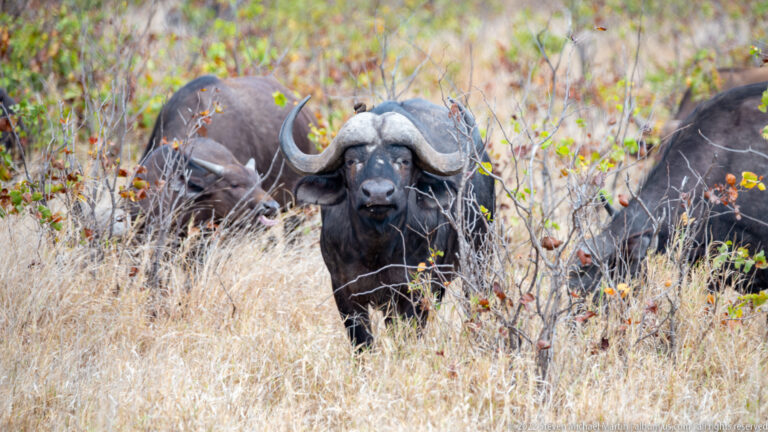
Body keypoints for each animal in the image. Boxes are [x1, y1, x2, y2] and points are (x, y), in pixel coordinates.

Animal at [280, 97, 495, 347]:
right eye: (352, 161)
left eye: (404, 161)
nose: (378, 193)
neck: (376, 248)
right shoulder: (343, 291)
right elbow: (362, 340)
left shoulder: (416, 290)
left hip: (479, 260)